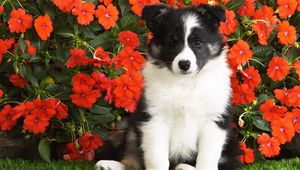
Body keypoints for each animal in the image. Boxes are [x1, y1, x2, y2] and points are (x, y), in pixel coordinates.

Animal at [95, 2, 241, 170]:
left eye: (197, 43)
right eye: (171, 43)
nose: (184, 64)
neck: (186, 83)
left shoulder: (214, 120)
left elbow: (206, 158)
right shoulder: (154, 118)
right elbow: (156, 158)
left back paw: (184, 166)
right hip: (132, 125)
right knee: (131, 158)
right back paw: (108, 164)